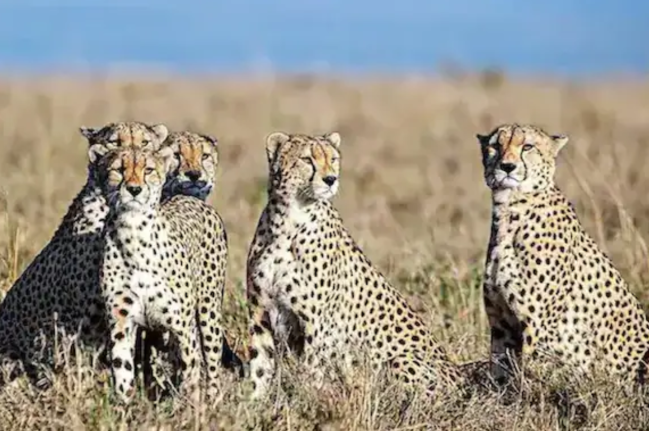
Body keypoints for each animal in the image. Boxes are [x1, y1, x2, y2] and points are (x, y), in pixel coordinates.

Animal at [95, 144, 228, 403]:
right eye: (119, 169)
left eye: (148, 170)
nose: (134, 189)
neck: (133, 234)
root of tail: (188, 197)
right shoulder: (121, 323)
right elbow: (123, 372)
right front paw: (124, 408)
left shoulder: (182, 326)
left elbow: (191, 372)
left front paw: (191, 409)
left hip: (208, 313)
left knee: (211, 364)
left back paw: (214, 400)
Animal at [245, 131, 463, 399]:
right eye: (307, 159)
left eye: (333, 158)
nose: (331, 179)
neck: (287, 221)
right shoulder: (260, 312)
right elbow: (259, 367)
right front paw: (255, 404)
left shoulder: (316, 323)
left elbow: (311, 371)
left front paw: (308, 402)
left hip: (400, 360)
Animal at [478, 123, 649, 387]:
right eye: (496, 145)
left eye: (527, 146)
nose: (507, 167)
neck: (510, 210)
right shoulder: (501, 325)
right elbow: (500, 371)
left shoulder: (538, 328)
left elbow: (530, 378)